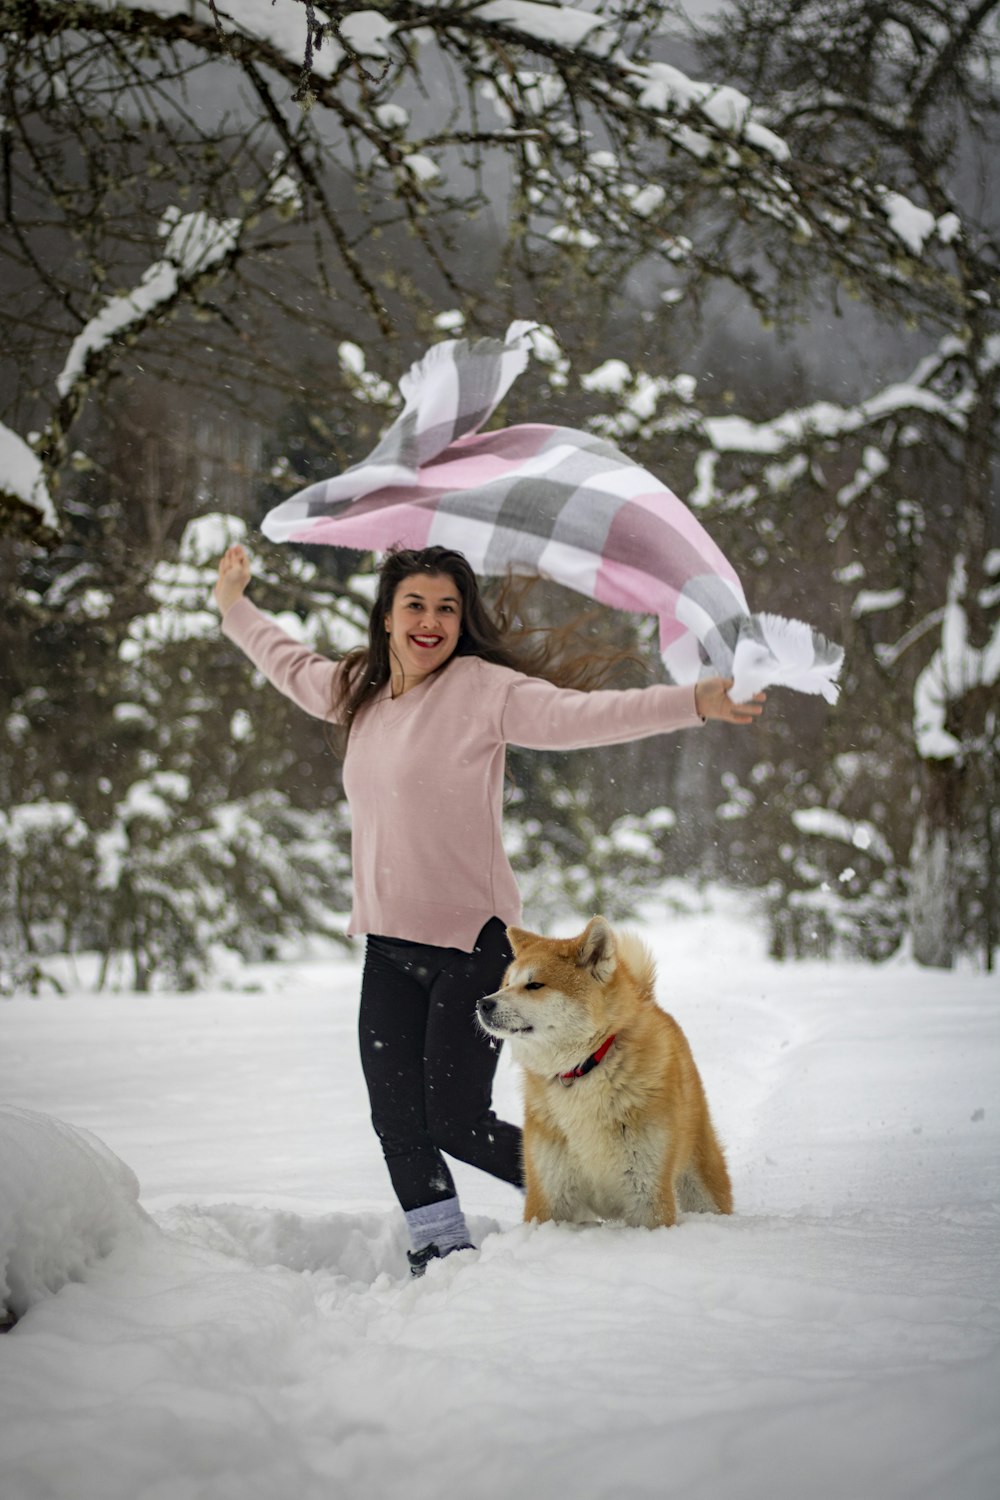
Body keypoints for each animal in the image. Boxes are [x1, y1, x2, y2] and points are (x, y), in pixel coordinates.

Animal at [476, 912, 728, 1230]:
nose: (483, 1003)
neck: (585, 1068)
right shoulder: (550, 1195)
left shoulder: (648, 1196)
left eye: (534, 985)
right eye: (507, 983)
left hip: (701, 1181)